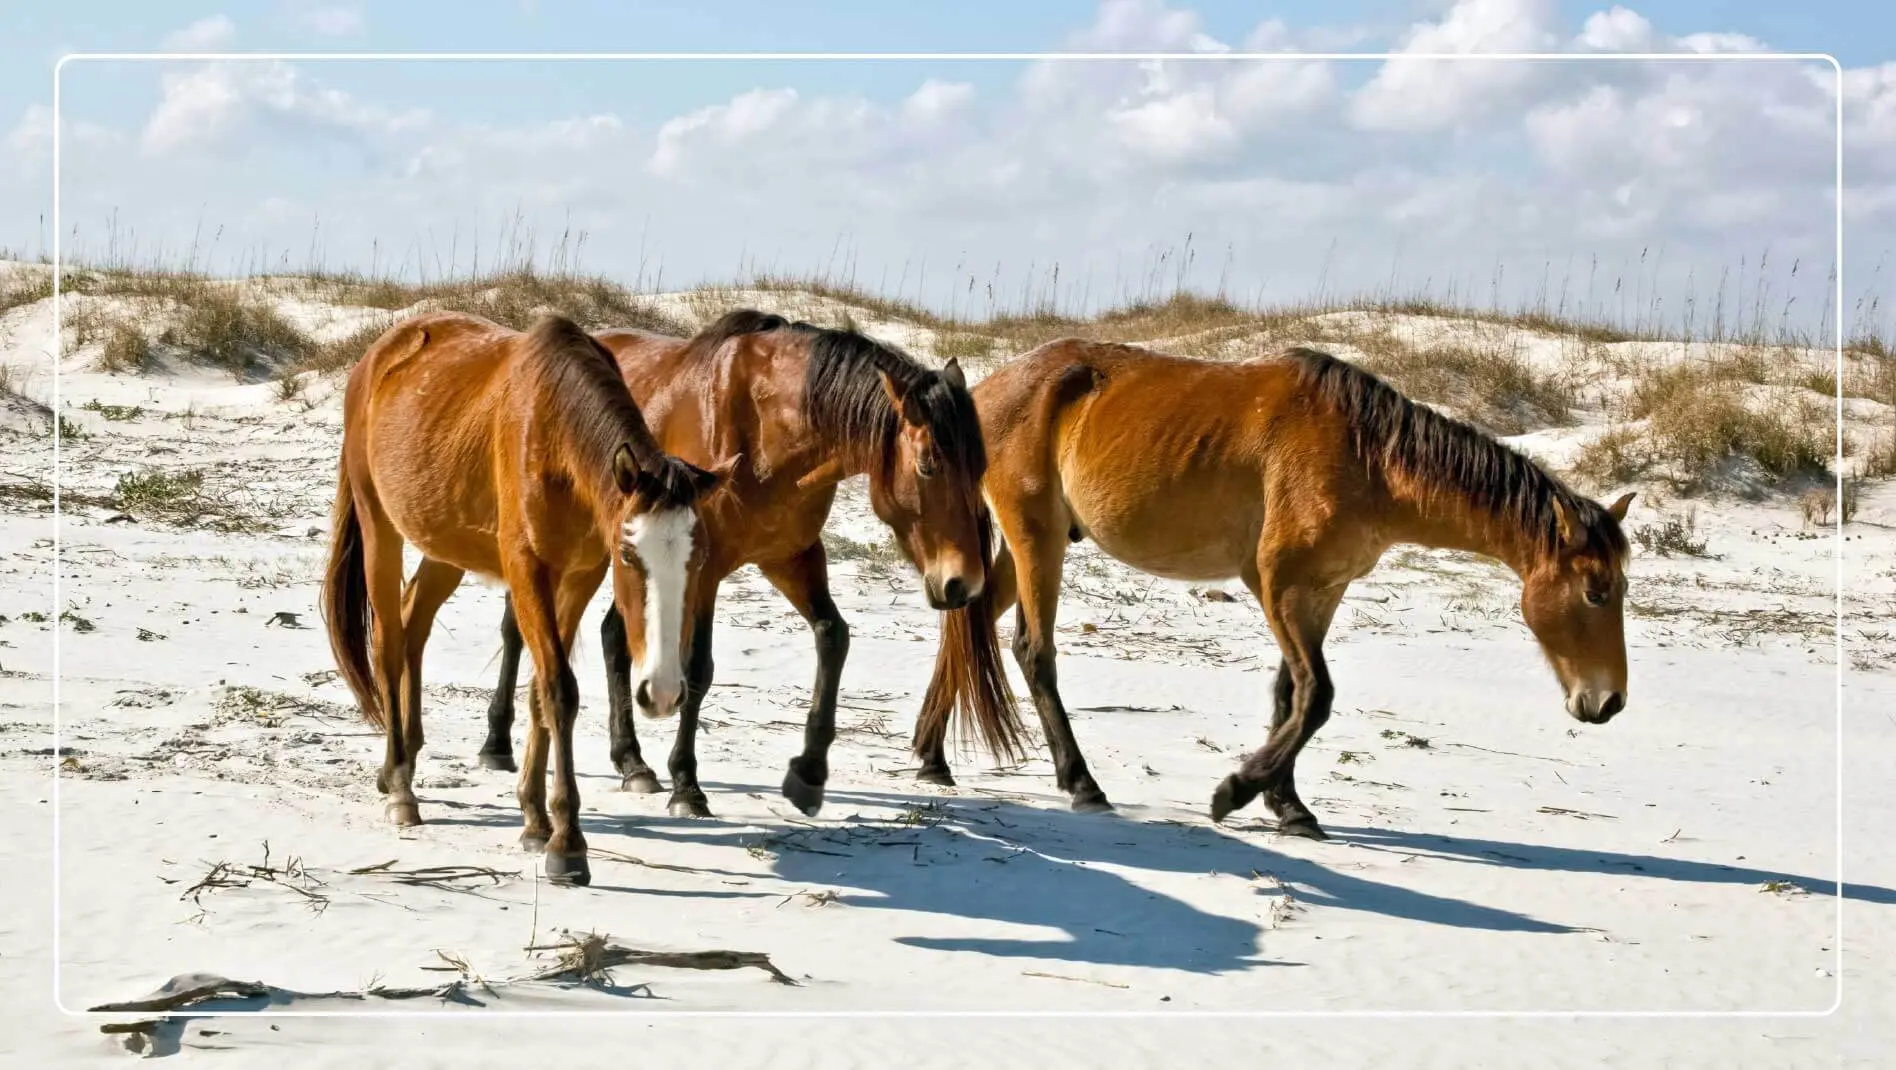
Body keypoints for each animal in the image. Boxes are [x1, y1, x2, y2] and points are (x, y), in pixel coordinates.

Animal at [320, 311, 729, 887]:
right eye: (630, 556)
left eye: (699, 560)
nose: (665, 692)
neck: (554, 431)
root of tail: (377, 357)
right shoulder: (528, 570)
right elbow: (559, 690)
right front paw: (567, 843)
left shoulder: (579, 576)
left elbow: (540, 693)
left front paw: (536, 819)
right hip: (380, 524)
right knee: (389, 642)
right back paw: (400, 784)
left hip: (448, 544)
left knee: (413, 620)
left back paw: (400, 764)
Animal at [476, 309, 1020, 820]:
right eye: (928, 465)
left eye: (980, 466)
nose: (962, 583)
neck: (766, 432)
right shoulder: (706, 570)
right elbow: (698, 668)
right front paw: (686, 786)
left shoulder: (791, 557)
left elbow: (833, 637)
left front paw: (808, 773)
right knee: (517, 629)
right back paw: (496, 744)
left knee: (614, 637)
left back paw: (632, 762)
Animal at [914, 339, 1635, 840]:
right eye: (1596, 592)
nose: (1607, 704)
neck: (1369, 456)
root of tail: (986, 392)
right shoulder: (1278, 586)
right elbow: (1316, 697)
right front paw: (1234, 791)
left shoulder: (1321, 592)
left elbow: (1292, 693)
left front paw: (1286, 804)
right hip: (1037, 542)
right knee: (1033, 652)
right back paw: (1082, 784)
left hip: (1032, 548)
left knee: (967, 622)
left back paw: (930, 755)